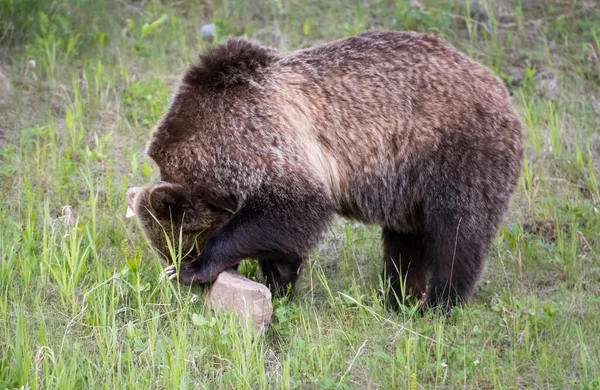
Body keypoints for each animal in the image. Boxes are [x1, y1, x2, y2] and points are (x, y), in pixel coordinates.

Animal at [143, 30, 524, 310]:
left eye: (183, 245)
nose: (179, 268)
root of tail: (500, 89)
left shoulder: (259, 138)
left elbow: (294, 207)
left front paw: (197, 269)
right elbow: (281, 237)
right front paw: (279, 283)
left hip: (458, 153)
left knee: (456, 233)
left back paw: (439, 304)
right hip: (407, 184)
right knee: (405, 243)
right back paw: (396, 297)